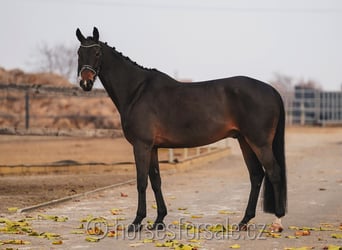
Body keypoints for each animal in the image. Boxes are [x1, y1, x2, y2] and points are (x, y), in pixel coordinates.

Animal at [77, 27, 286, 232]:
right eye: (79, 53)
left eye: (97, 53)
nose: (85, 82)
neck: (137, 91)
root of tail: (271, 90)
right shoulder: (153, 147)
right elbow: (156, 181)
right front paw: (159, 220)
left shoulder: (141, 145)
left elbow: (141, 182)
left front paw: (137, 222)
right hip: (245, 141)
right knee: (256, 175)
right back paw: (244, 221)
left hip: (259, 143)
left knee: (274, 172)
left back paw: (277, 221)